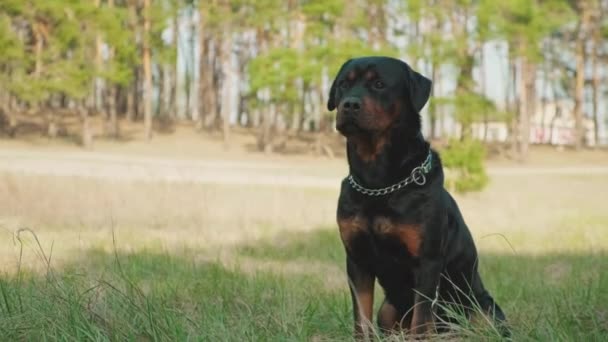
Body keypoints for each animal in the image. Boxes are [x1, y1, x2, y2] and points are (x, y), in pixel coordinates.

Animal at [328, 57, 508, 338]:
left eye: (379, 84)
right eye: (343, 85)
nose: (349, 104)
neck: (378, 181)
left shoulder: (427, 261)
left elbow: (422, 320)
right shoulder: (357, 260)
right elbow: (361, 318)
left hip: (482, 309)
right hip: (388, 310)